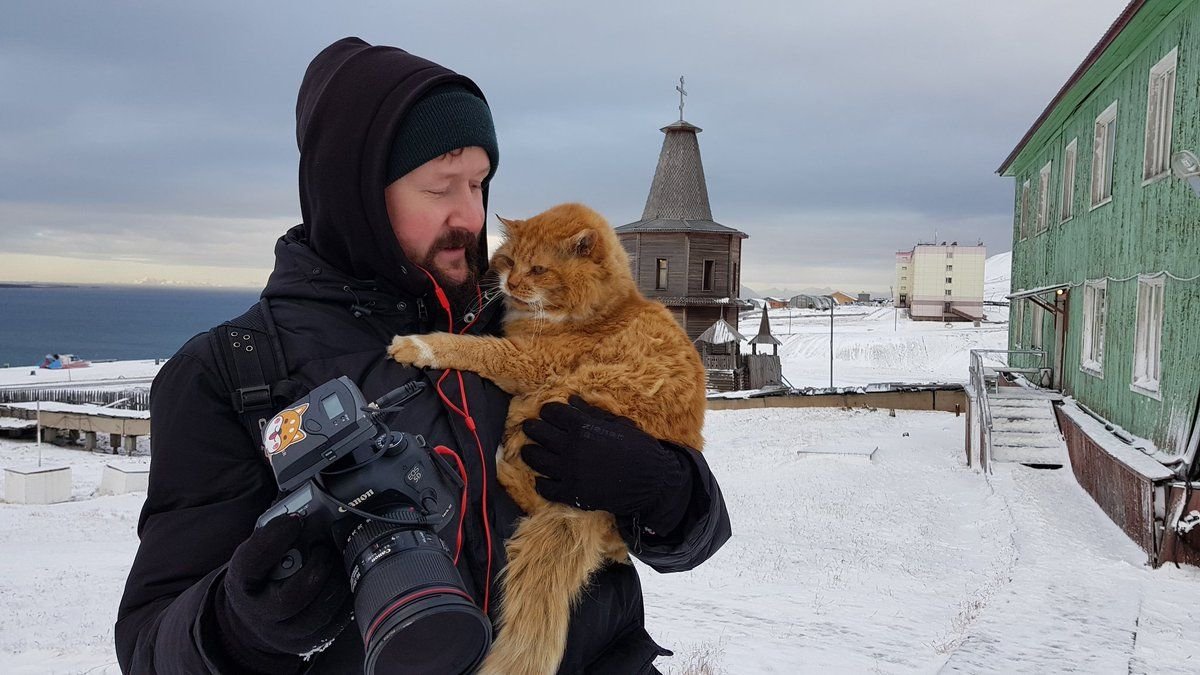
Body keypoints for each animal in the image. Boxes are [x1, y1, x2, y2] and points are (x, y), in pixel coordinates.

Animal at [384, 201, 705, 667]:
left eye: (538, 269)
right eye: (509, 261)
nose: (511, 283)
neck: (604, 312)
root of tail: (589, 512)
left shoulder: (526, 363)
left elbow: (469, 348)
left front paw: (417, 345)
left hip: (555, 398)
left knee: (530, 492)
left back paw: (501, 461)